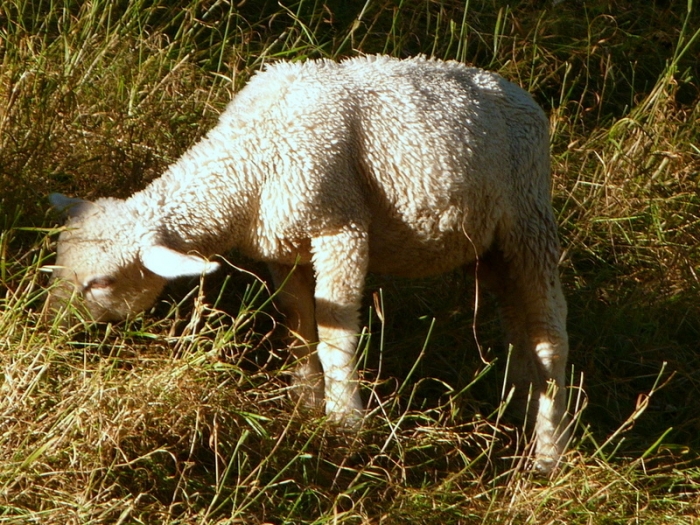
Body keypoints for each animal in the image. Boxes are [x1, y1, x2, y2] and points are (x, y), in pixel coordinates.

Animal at [47, 55, 570, 474]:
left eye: (101, 282)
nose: (49, 328)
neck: (248, 158)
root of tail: (518, 91)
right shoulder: (282, 247)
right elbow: (299, 325)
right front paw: (305, 406)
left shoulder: (340, 227)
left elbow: (335, 330)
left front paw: (346, 423)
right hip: (491, 251)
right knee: (522, 338)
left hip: (530, 219)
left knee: (550, 337)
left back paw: (549, 454)